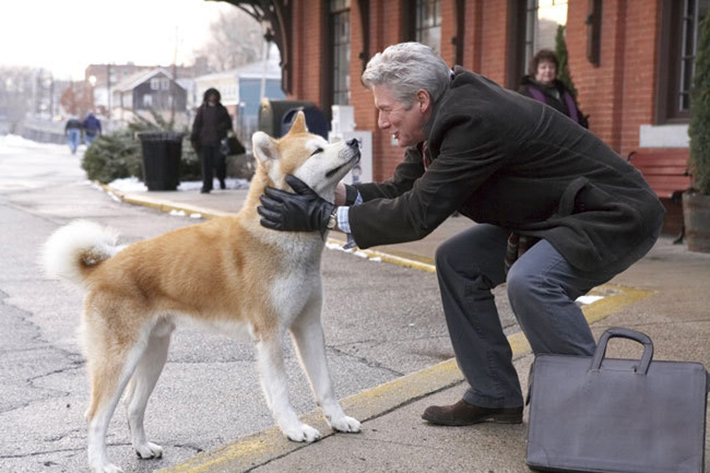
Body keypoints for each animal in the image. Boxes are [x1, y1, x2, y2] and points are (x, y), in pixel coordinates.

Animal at [41, 111, 362, 472]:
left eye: (326, 142)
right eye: (316, 151)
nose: (354, 141)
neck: (279, 234)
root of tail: (103, 268)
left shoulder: (308, 326)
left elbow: (325, 384)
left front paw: (338, 420)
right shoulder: (270, 334)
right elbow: (281, 391)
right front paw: (294, 429)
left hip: (153, 354)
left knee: (133, 406)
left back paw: (143, 448)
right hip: (120, 359)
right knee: (95, 417)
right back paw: (101, 464)